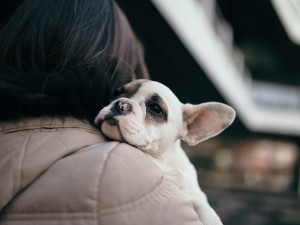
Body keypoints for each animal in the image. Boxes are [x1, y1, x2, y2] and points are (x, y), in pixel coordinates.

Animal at [95, 79, 236, 225]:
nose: (121, 103)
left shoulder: (196, 195)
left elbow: (205, 209)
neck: (161, 161)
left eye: (156, 108)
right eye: (116, 93)